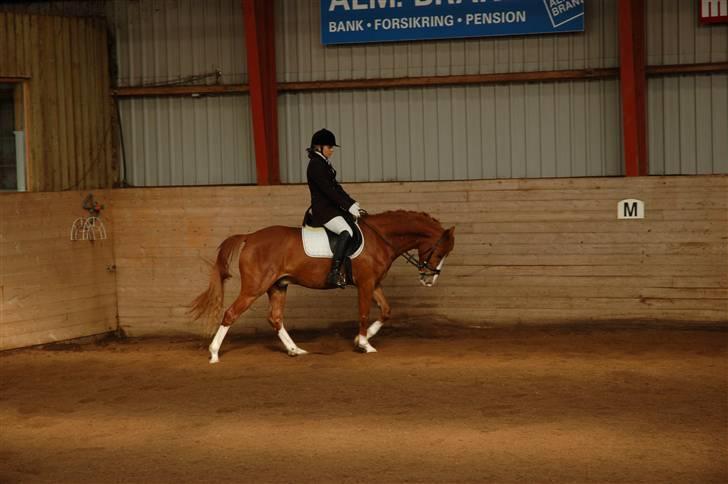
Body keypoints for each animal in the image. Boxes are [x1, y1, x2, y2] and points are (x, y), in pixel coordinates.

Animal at [192, 210, 456, 362]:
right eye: (439, 251)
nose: (429, 279)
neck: (380, 237)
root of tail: (250, 237)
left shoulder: (374, 283)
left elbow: (386, 310)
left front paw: (362, 339)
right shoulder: (365, 283)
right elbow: (363, 312)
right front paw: (364, 344)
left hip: (278, 286)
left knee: (275, 318)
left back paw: (295, 350)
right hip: (254, 288)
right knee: (230, 314)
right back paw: (214, 353)